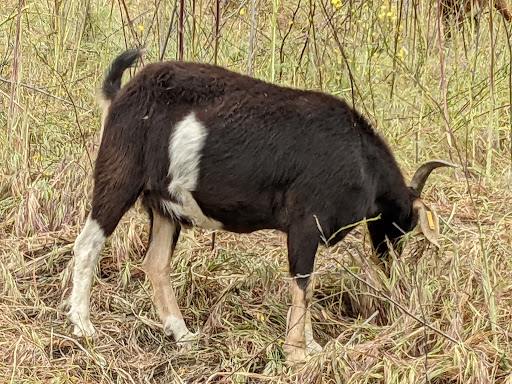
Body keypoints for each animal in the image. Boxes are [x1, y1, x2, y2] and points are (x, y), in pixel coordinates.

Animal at [69, 50, 456, 364]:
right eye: (407, 221)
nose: (389, 262)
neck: (360, 159)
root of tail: (121, 94)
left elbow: (306, 284)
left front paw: (310, 346)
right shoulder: (305, 224)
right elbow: (302, 282)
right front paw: (297, 354)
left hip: (166, 206)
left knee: (156, 263)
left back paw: (183, 334)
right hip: (119, 176)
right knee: (88, 243)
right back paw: (83, 326)